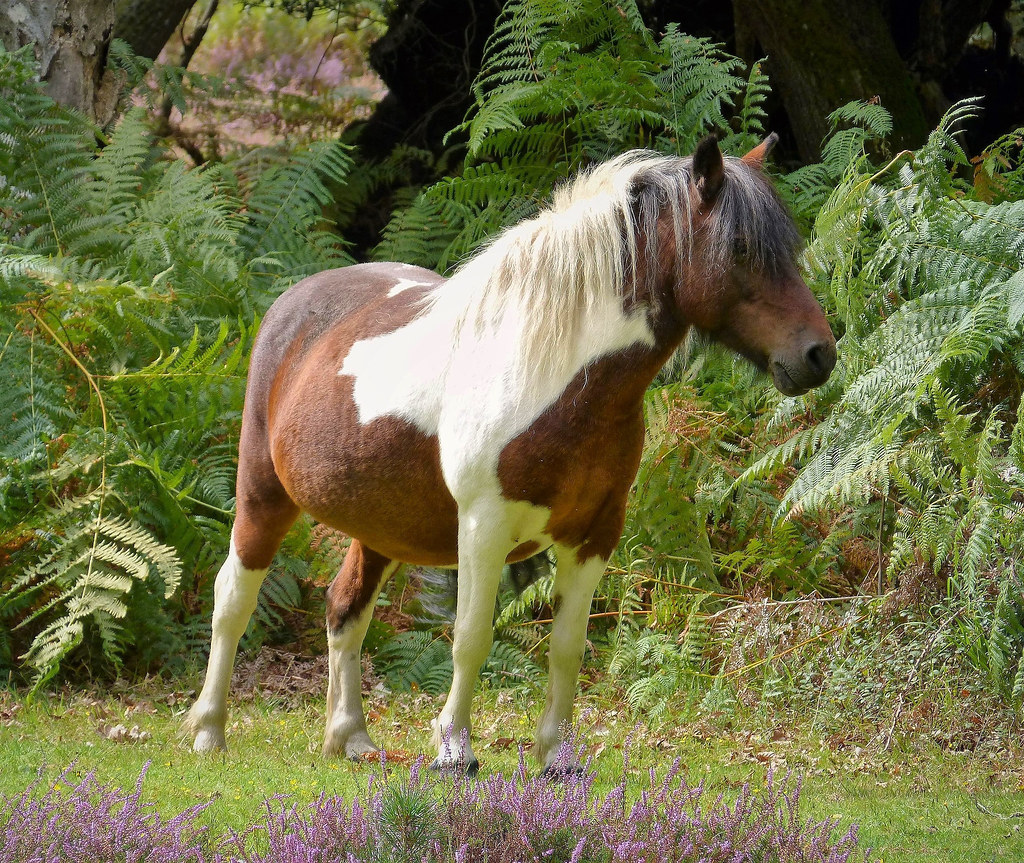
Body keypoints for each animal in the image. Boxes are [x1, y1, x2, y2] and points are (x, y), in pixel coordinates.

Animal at [184, 135, 836, 774]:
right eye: (742, 248)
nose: (819, 355)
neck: (558, 381)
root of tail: (295, 301)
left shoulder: (595, 534)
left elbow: (566, 648)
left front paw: (557, 756)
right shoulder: (484, 527)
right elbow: (471, 637)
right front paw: (454, 749)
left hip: (381, 527)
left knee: (345, 609)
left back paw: (351, 738)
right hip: (263, 495)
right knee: (232, 600)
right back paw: (209, 730)